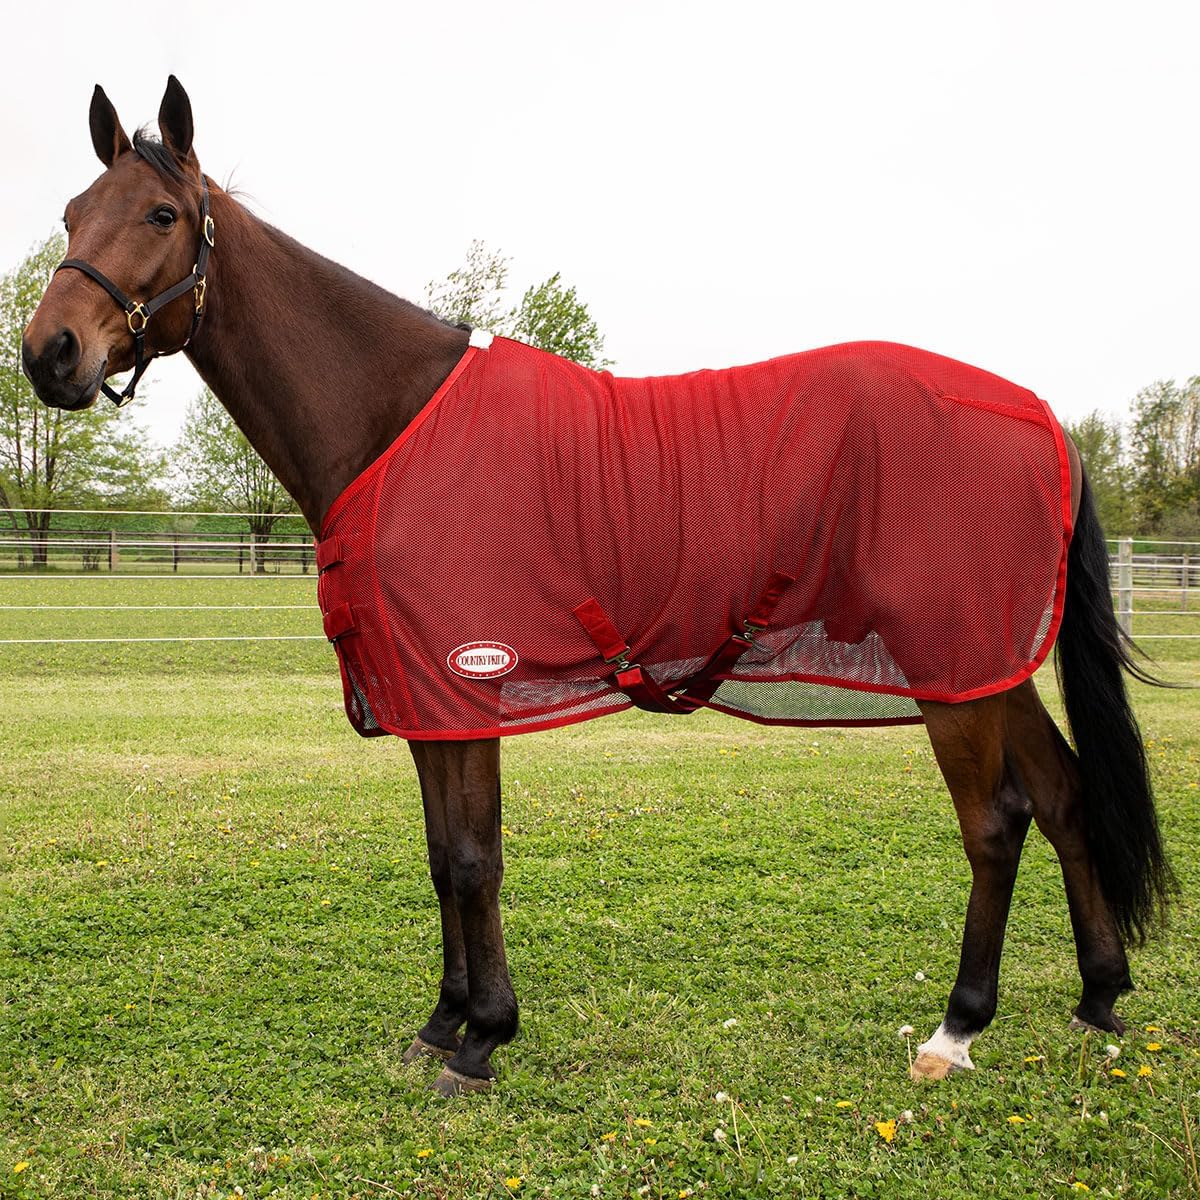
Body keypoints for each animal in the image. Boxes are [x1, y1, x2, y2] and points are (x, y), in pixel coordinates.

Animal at [21, 77, 1172, 1097]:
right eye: (74, 211)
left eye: (162, 212)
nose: (49, 353)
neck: (394, 421)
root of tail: (1037, 413)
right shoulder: (427, 693)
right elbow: (440, 855)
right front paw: (444, 1022)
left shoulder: (465, 679)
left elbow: (474, 858)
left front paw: (484, 1037)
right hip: (986, 663)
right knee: (1065, 798)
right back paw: (1097, 994)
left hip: (953, 671)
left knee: (998, 822)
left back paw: (956, 1030)